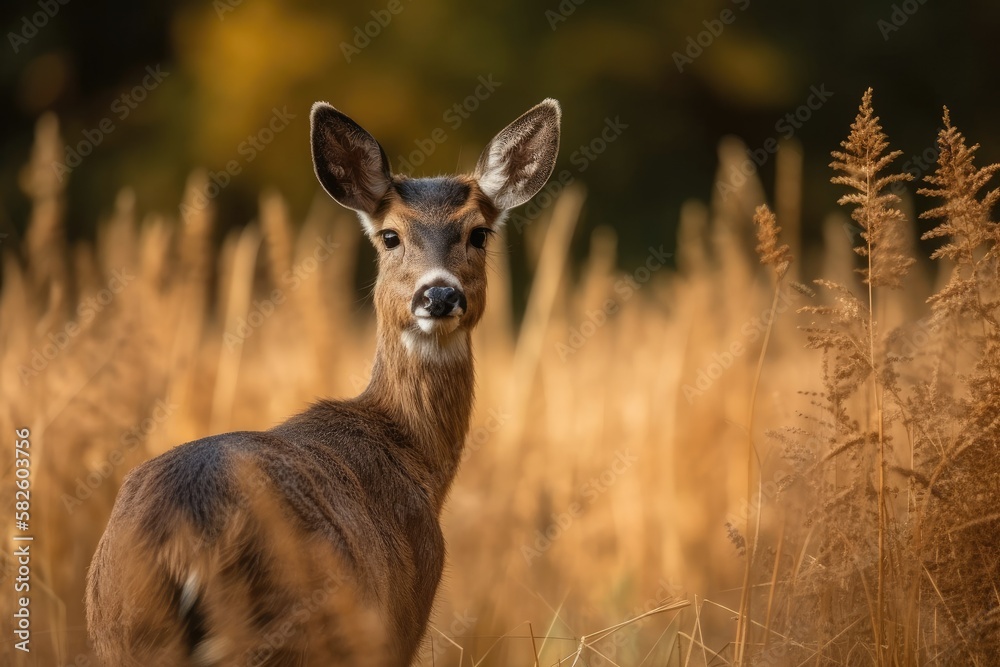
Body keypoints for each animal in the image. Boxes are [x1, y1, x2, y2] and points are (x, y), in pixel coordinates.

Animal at [86, 96, 564, 664]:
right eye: (390, 236)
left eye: (479, 233)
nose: (439, 295)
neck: (414, 458)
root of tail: (183, 543)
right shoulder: (403, 618)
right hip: (293, 632)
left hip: (121, 632)